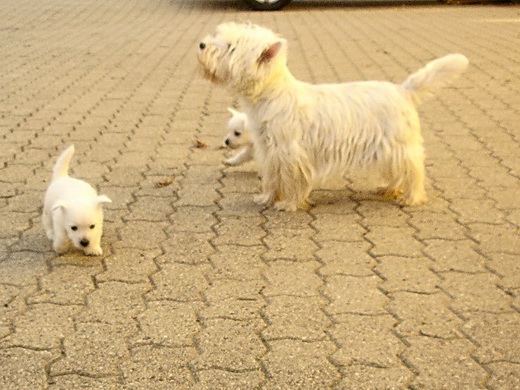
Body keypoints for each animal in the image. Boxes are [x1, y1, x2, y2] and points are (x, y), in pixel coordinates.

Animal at [197, 22, 470, 212]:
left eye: (231, 47)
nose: (201, 45)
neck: (270, 95)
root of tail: (403, 90)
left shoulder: (291, 152)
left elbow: (292, 180)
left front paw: (289, 204)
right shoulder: (269, 150)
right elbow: (272, 178)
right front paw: (267, 198)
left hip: (400, 145)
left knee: (414, 171)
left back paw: (411, 198)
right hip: (387, 149)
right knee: (397, 172)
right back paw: (388, 188)